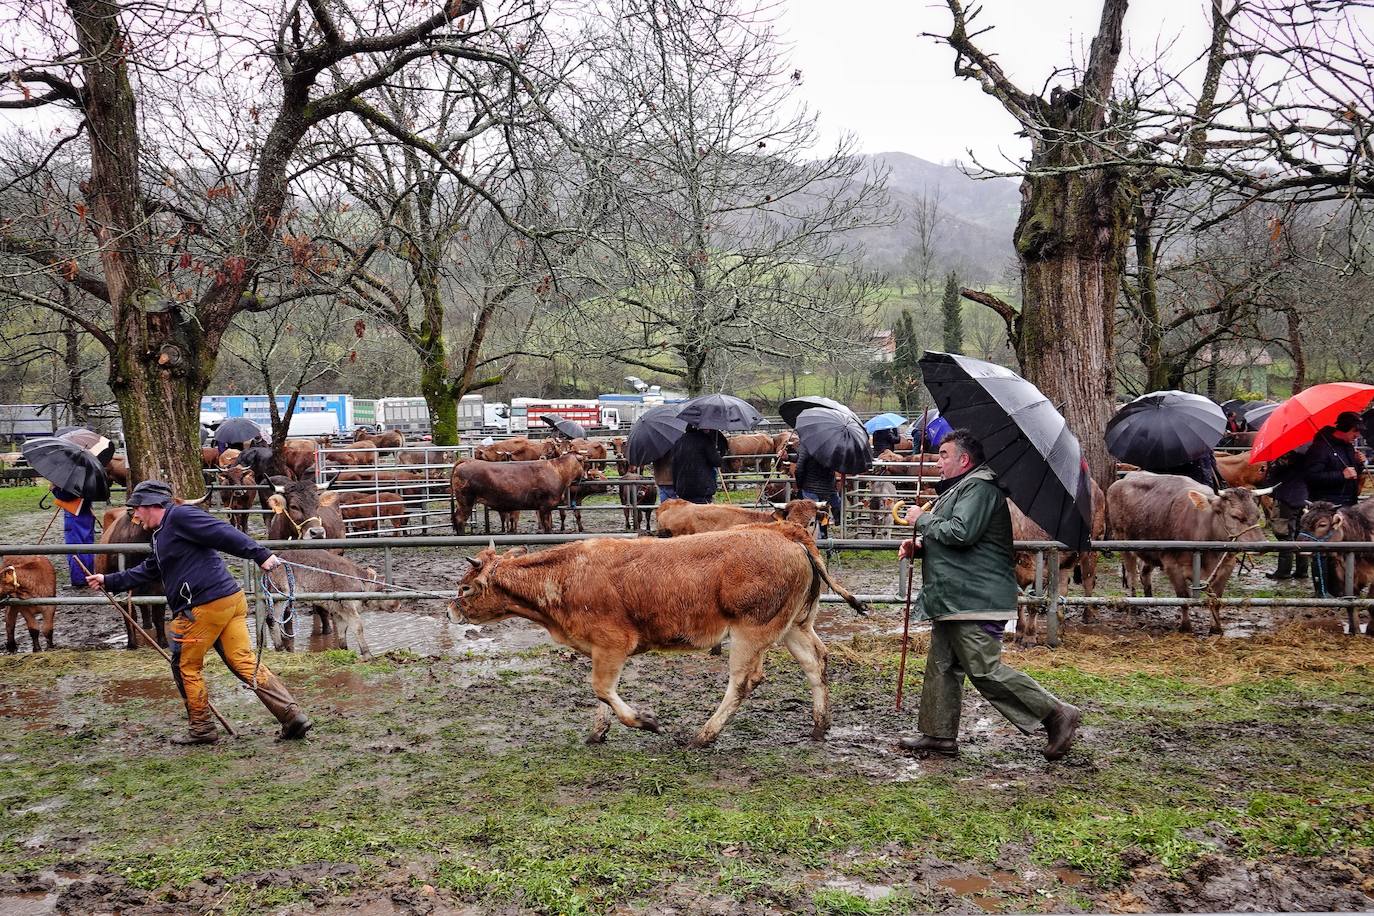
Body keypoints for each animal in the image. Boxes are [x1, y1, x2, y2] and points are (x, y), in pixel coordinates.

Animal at [447, 453, 582, 532]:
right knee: (459, 519)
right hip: (466, 501)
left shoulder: (545, 508)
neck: (557, 471)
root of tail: (468, 460)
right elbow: (547, 526)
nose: (585, 476)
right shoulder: (545, 506)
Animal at [450, 521, 835, 747]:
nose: (451, 610)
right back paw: (819, 725)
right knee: (815, 662)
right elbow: (602, 694)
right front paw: (598, 732)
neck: (565, 576)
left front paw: (646, 721)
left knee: (743, 682)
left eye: (466, 588)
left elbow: (602, 689)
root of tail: (788, 536)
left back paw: (703, 735)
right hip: (794, 626)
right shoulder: (599, 648)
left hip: (751, 632)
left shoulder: (613, 643)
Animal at [1104, 477, 1264, 634]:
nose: (1261, 545)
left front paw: (1216, 628)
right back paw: (1133, 605)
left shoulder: (1226, 567)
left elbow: (1216, 600)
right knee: (1132, 576)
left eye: (1257, 515)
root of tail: (1120, 481)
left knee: (1144, 571)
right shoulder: (1173, 566)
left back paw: (1150, 598)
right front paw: (1186, 627)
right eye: (1235, 516)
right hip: (1123, 542)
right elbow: (1184, 598)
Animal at [1297, 497, 1374, 634]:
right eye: (1302, 521)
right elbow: (1350, 601)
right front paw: (1354, 630)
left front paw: (1371, 628)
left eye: (1322, 524)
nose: (1300, 547)